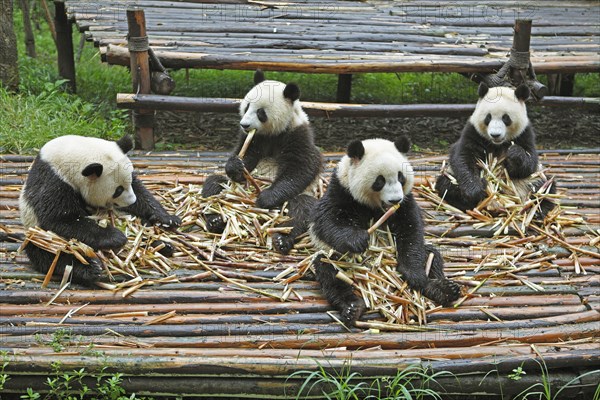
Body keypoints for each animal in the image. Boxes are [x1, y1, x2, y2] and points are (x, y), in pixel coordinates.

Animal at [19, 134, 182, 284]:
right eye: (118, 190)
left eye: (128, 182)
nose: (131, 200)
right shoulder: (55, 181)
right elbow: (59, 219)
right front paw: (115, 237)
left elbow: (141, 192)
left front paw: (167, 219)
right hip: (39, 236)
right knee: (54, 255)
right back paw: (89, 269)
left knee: (143, 229)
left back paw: (162, 246)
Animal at [203, 69, 324, 253]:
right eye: (246, 106)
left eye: (261, 112)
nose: (244, 124)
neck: (273, 133)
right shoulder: (255, 139)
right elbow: (245, 155)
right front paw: (236, 165)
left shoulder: (298, 134)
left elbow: (300, 168)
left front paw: (265, 198)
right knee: (214, 184)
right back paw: (216, 220)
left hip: (306, 195)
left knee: (301, 209)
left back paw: (282, 238)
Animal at [310, 137, 460, 324]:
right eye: (379, 181)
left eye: (401, 177)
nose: (395, 199)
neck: (375, 207)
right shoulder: (342, 190)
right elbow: (326, 220)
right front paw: (358, 240)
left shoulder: (406, 201)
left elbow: (411, 230)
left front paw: (414, 274)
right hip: (333, 256)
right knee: (329, 271)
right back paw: (352, 307)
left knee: (431, 257)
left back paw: (443, 289)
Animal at [434, 82, 556, 217]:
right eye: (488, 117)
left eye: (506, 118)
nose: (495, 135)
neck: (497, 144)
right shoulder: (473, 132)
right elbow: (463, 157)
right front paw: (475, 189)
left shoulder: (524, 134)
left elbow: (529, 164)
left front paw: (515, 153)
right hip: (451, 176)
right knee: (446, 185)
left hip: (532, 181)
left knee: (546, 186)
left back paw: (538, 210)